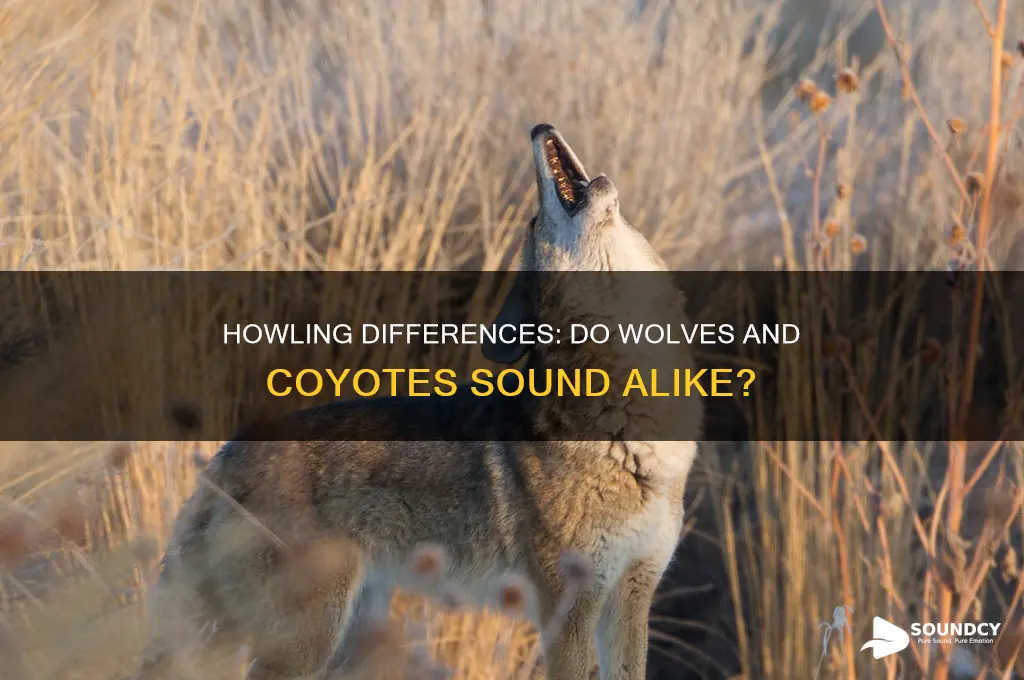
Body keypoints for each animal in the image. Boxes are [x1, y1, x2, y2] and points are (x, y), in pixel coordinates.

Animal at [137, 124, 703, 680]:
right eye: (534, 221)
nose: (537, 126)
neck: (631, 433)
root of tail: (224, 456)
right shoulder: (567, 615)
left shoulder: (632, 598)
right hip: (305, 647)